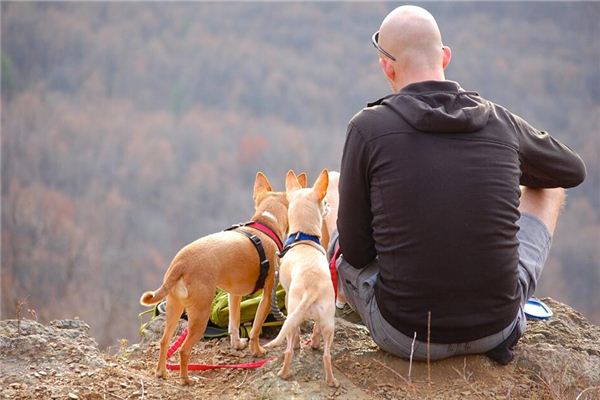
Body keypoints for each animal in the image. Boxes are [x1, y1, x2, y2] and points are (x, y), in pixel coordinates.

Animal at [141, 172, 290, 384]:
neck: (265, 224)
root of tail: (181, 263)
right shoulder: (268, 295)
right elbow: (255, 328)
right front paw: (257, 350)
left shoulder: (234, 294)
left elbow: (234, 323)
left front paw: (237, 344)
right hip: (200, 315)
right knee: (183, 350)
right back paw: (186, 380)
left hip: (174, 307)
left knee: (164, 341)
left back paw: (162, 372)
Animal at [266, 169, 340, 388]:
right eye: (325, 202)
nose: (329, 206)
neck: (303, 236)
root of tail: (311, 290)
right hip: (328, 322)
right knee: (326, 354)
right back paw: (331, 380)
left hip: (293, 313)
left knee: (290, 347)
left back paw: (284, 373)